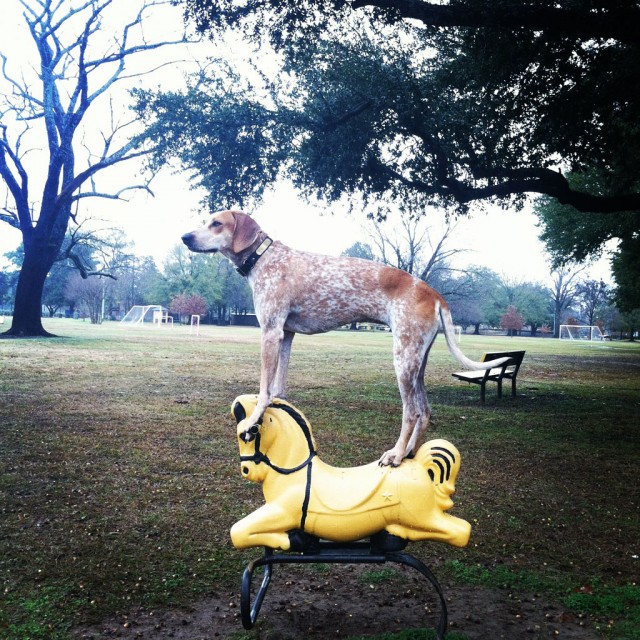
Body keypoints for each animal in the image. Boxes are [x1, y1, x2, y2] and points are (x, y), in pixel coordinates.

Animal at [182, 210, 508, 464]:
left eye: (217, 223)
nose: (185, 237)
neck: (264, 259)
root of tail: (434, 293)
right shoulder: (286, 335)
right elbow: (278, 388)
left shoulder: (271, 331)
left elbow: (264, 389)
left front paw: (252, 422)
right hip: (417, 361)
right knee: (425, 411)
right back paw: (408, 453)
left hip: (403, 361)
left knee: (412, 412)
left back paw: (395, 454)